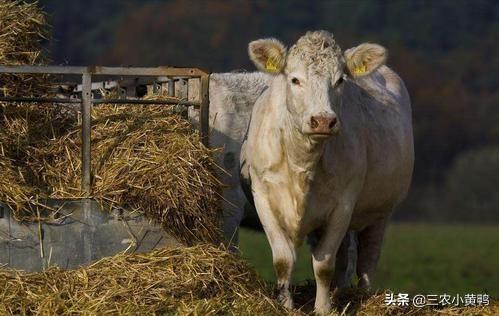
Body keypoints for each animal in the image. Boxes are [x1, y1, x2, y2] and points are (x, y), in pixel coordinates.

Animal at [239, 31, 414, 314]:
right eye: (295, 79)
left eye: (340, 80)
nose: (323, 120)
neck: (303, 161)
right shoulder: (263, 197)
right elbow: (283, 260)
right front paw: (286, 304)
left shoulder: (344, 204)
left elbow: (323, 265)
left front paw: (323, 308)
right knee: (345, 260)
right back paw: (340, 292)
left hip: (380, 211)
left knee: (367, 259)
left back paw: (362, 295)